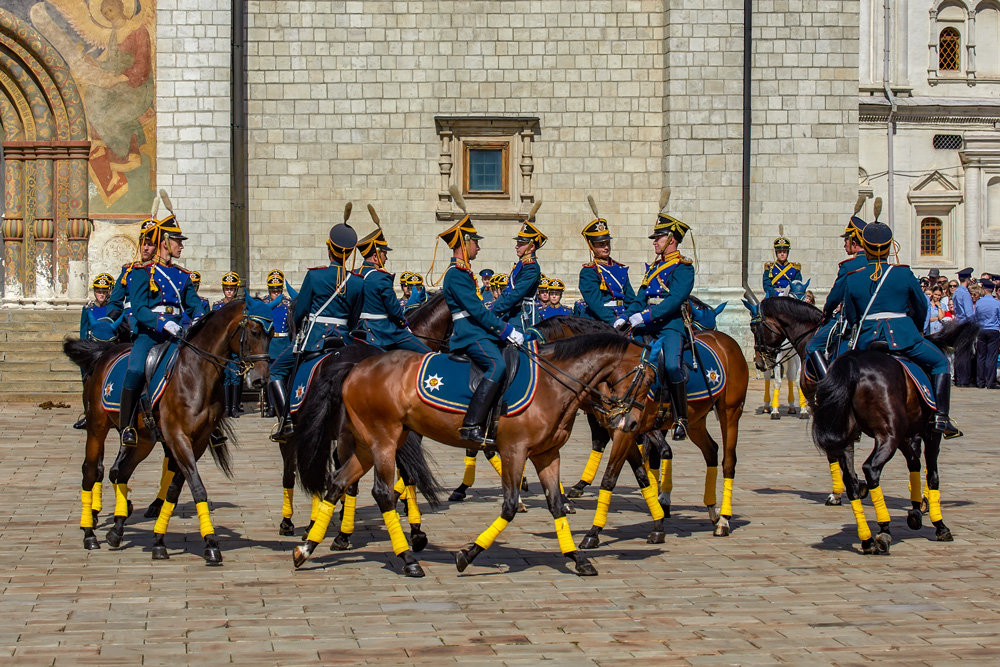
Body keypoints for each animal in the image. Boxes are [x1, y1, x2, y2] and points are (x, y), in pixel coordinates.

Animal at [64, 302, 272, 564]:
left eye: (271, 335)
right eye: (254, 332)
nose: (261, 380)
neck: (196, 374)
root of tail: (105, 354)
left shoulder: (197, 442)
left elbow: (176, 489)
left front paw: (159, 540)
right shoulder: (177, 437)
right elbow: (197, 488)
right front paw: (211, 543)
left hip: (143, 440)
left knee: (121, 472)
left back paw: (117, 529)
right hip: (97, 428)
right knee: (92, 471)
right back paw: (90, 532)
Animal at [290, 334, 656, 580]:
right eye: (646, 379)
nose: (633, 424)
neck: (554, 385)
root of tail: (357, 364)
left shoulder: (547, 454)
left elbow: (555, 505)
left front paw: (577, 557)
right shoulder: (514, 451)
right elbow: (509, 507)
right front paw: (467, 555)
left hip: (367, 445)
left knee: (337, 483)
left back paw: (306, 549)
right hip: (383, 440)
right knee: (380, 493)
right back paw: (408, 559)